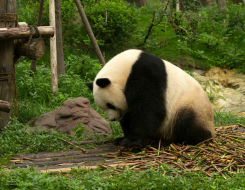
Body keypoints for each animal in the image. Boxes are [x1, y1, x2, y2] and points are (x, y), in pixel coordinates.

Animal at [85, 49, 214, 147]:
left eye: (110, 105)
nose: (113, 119)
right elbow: (130, 114)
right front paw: (122, 138)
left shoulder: (146, 74)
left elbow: (149, 108)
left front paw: (132, 141)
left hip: (191, 105)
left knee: (187, 121)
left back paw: (195, 139)